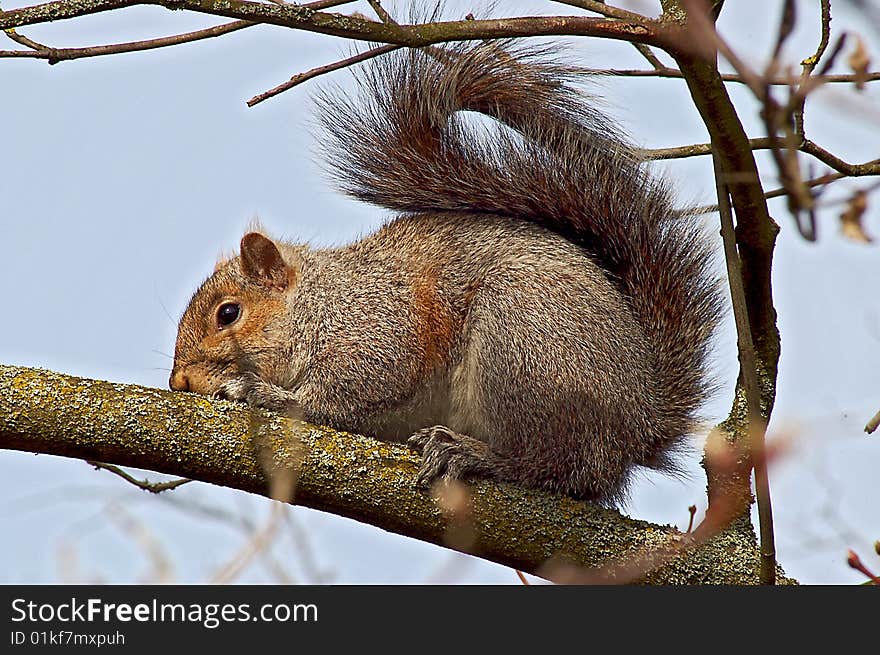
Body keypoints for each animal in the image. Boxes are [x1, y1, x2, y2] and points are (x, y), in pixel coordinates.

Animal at [170, 42, 720, 508]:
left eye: (228, 314)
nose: (179, 382)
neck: (318, 300)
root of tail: (640, 422)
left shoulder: (378, 324)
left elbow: (350, 388)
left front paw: (263, 394)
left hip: (521, 345)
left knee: (553, 466)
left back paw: (475, 454)